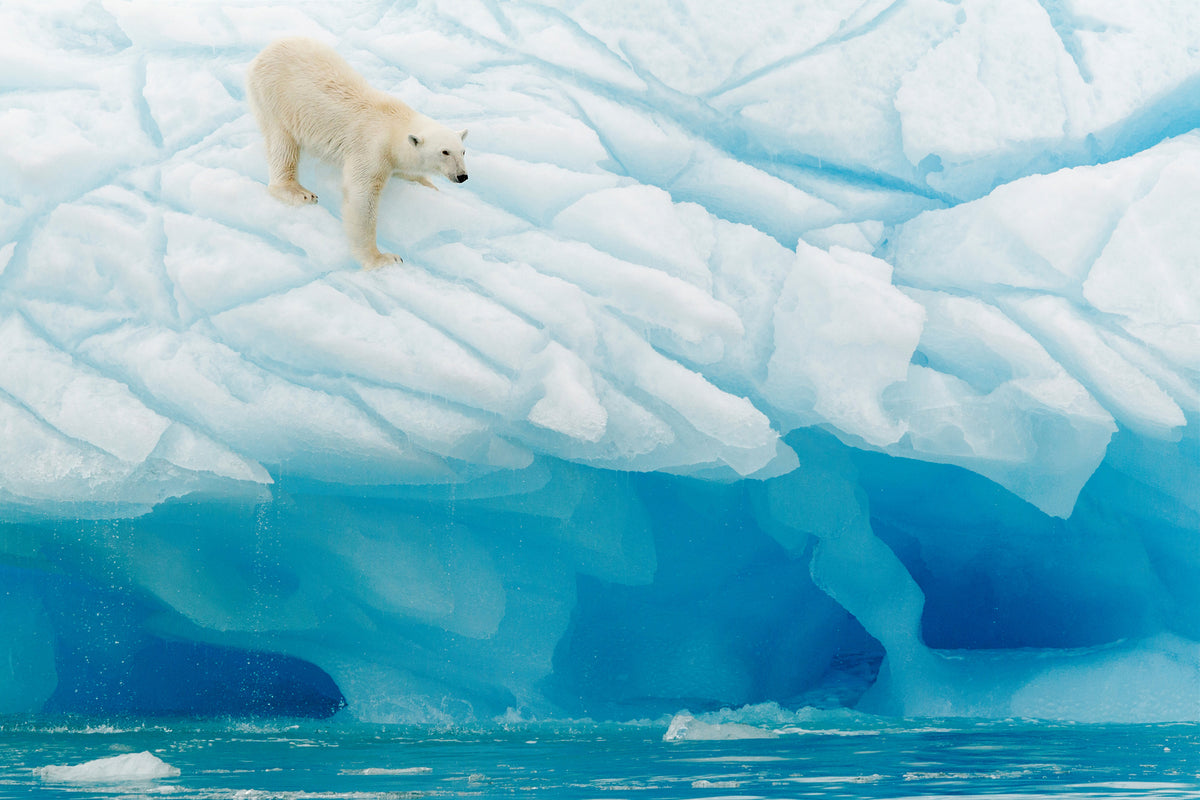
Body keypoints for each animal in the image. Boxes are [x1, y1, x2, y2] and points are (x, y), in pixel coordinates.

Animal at [246, 37, 468, 269]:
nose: (462, 176)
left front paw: (429, 185)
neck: (394, 122)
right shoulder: (371, 149)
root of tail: (262, 54)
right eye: (444, 152)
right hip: (274, 98)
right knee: (282, 143)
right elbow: (362, 198)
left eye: (463, 151)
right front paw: (383, 258)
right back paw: (299, 192)